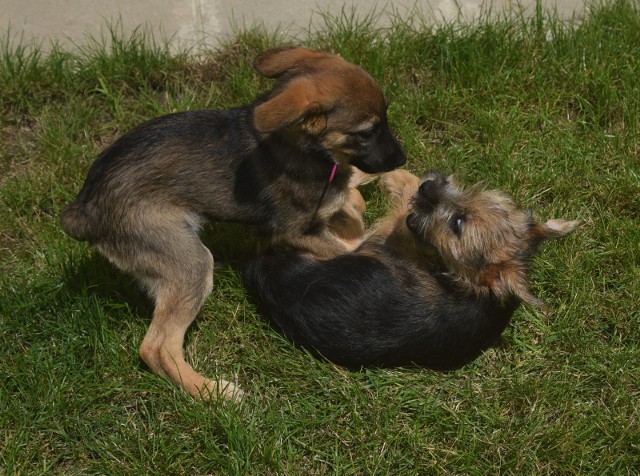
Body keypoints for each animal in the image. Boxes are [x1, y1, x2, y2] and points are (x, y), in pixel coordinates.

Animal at [62, 47, 408, 398]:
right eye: (366, 132)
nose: (402, 158)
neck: (304, 148)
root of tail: (85, 208)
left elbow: (351, 199)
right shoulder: (293, 231)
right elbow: (348, 244)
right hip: (187, 260)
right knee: (156, 348)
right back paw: (213, 392)